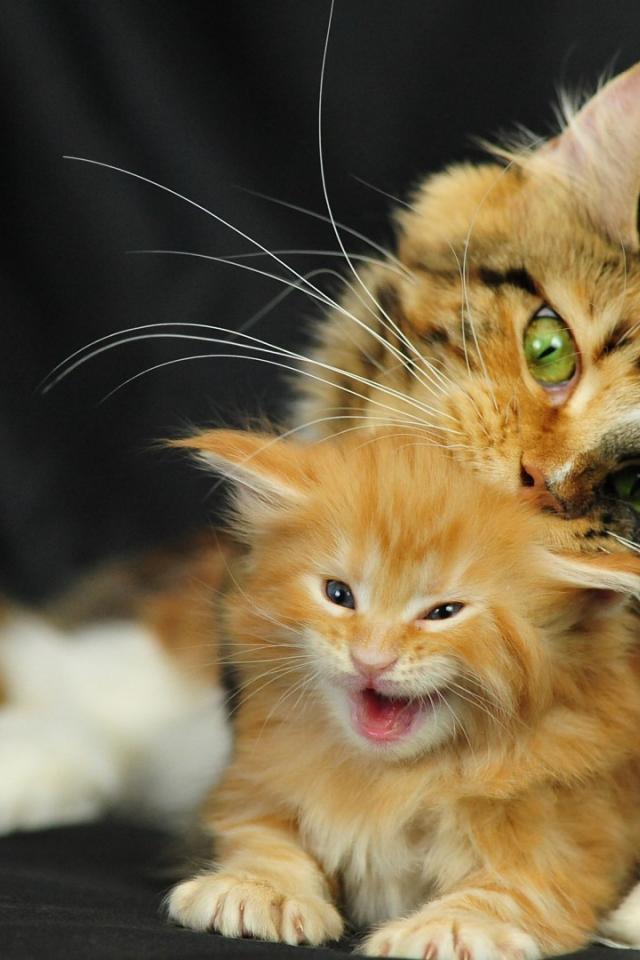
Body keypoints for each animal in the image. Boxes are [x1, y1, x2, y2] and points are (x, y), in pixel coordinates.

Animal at [165, 426, 640, 960]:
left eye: (443, 612)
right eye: (338, 595)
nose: (371, 659)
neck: (394, 779)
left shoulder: (575, 839)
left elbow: (512, 891)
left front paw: (452, 925)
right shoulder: (255, 781)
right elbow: (263, 838)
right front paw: (257, 887)